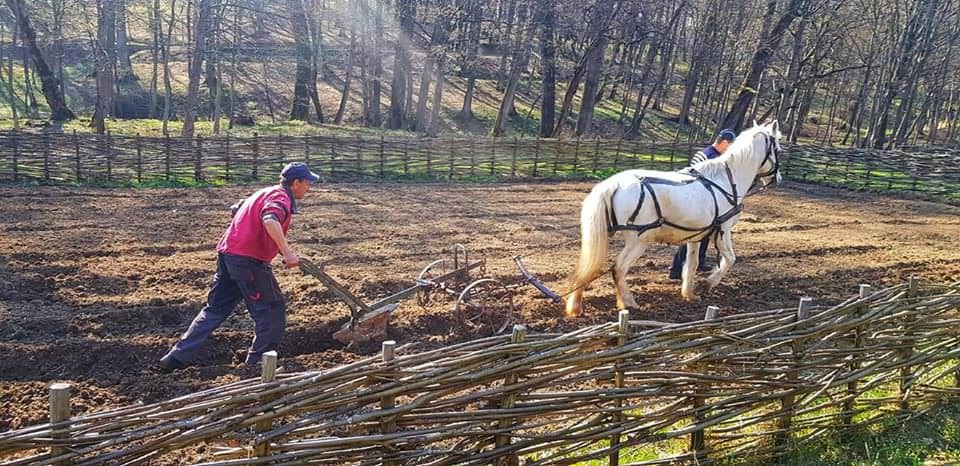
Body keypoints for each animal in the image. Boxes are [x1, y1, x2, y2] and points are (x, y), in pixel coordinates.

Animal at [568, 122, 784, 314]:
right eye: (779, 150)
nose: (778, 179)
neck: (726, 181)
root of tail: (614, 184)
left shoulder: (696, 236)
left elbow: (692, 264)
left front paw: (689, 293)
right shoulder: (723, 230)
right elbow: (730, 259)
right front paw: (708, 283)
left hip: (605, 235)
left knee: (589, 267)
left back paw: (577, 306)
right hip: (640, 240)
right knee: (618, 268)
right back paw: (629, 303)